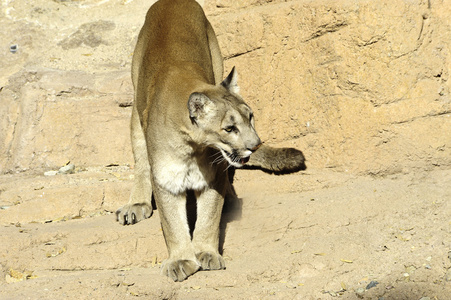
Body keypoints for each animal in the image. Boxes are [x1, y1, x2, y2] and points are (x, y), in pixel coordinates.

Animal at [116, 0, 308, 282]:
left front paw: (206, 252)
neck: (193, 148)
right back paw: (136, 204)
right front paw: (181, 260)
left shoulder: (213, 177)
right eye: (229, 128)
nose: (255, 144)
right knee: (140, 160)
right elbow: (173, 223)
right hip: (135, 112)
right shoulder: (166, 178)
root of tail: (171, 1)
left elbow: (208, 217)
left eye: (251, 117)